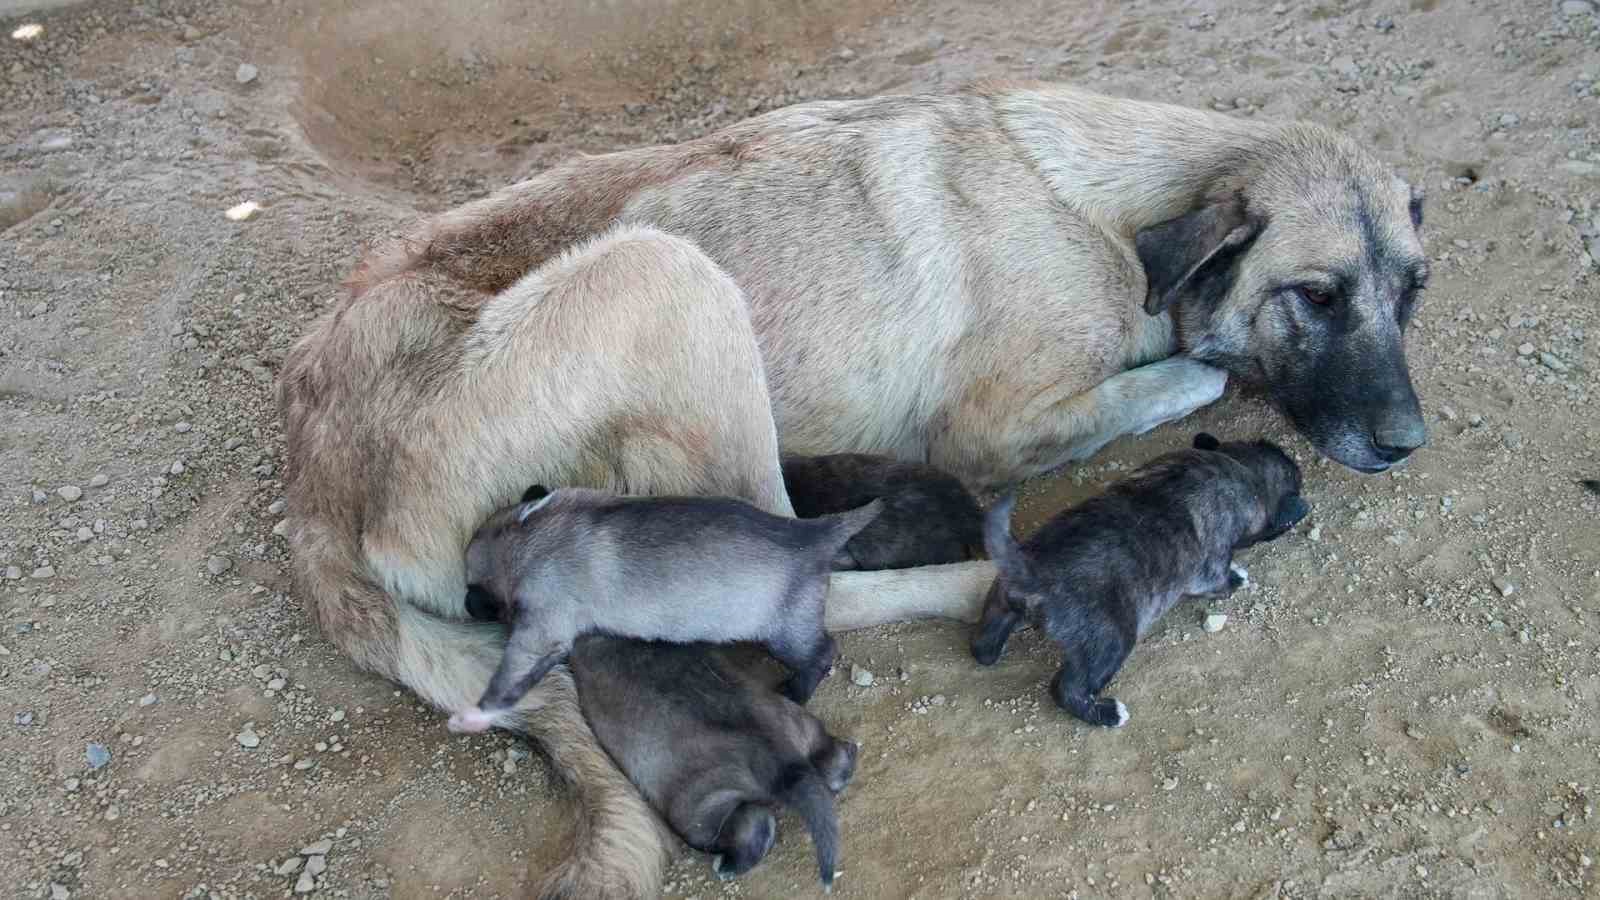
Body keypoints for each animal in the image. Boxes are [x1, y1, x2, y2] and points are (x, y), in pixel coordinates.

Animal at [444, 483, 883, 730]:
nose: (468, 604)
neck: (527, 533)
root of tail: (816, 532)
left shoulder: (540, 631)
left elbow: (506, 683)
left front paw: (473, 717)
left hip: (785, 634)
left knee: (822, 653)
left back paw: (797, 691)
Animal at [566, 634, 857, 883]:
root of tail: (780, 755)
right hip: (799, 722)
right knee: (833, 762)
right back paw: (848, 755)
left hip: (697, 808)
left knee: (752, 825)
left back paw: (728, 866)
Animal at [972, 432, 1312, 723]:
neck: (1241, 467)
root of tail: (1029, 571)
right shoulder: (1209, 567)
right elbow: (1218, 581)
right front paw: (1237, 577)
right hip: (1111, 640)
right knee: (1066, 689)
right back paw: (1107, 714)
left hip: (999, 599)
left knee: (982, 646)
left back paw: (991, 649)